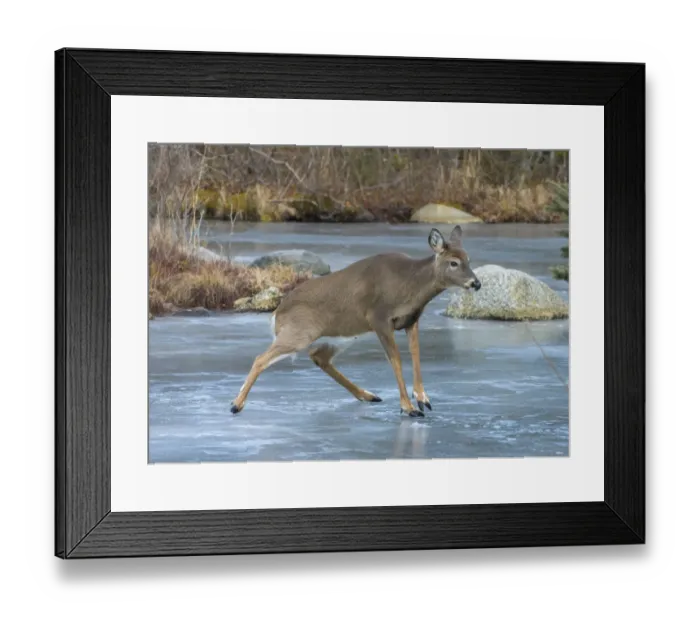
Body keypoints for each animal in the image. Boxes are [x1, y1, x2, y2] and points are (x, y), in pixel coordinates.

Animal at [230, 225, 481, 418]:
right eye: (453, 262)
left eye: (469, 259)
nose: (476, 283)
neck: (409, 286)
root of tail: (277, 313)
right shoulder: (379, 317)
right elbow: (396, 360)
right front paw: (408, 408)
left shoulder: (411, 320)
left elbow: (416, 355)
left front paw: (422, 399)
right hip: (299, 332)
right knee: (261, 358)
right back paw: (236, 405)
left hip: (343, 335)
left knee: (319, 357)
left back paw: (368, 395)